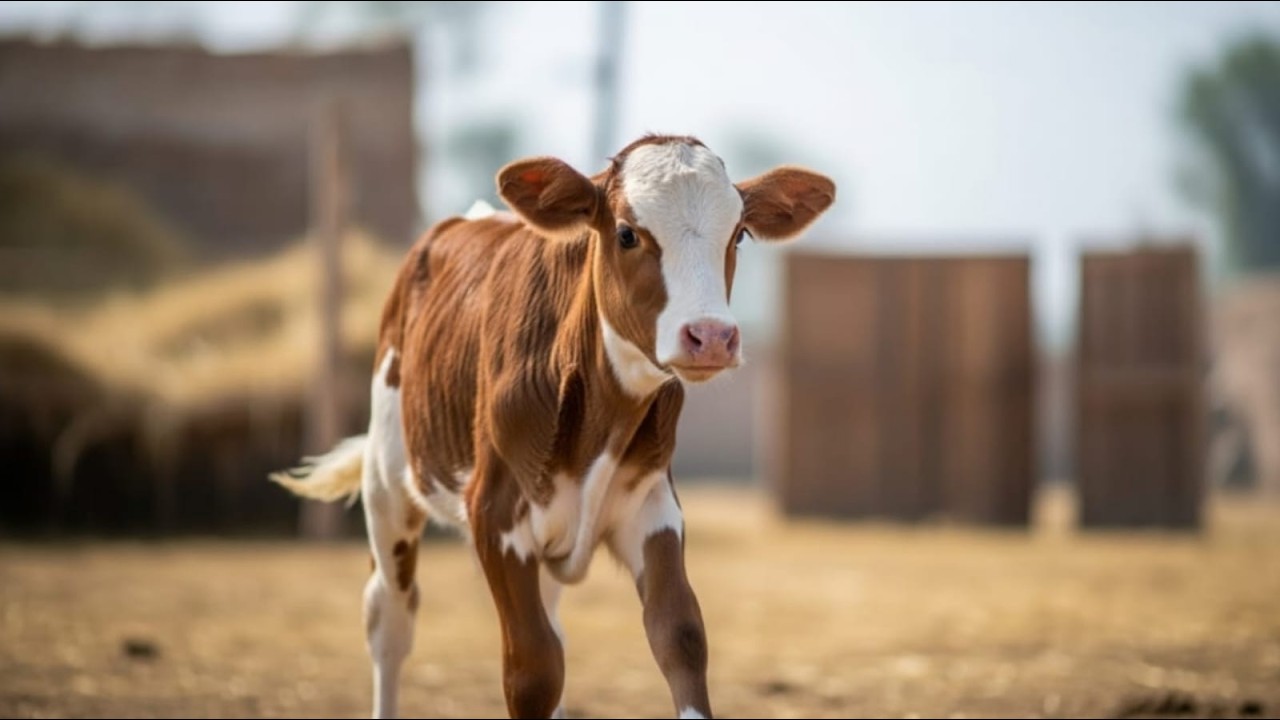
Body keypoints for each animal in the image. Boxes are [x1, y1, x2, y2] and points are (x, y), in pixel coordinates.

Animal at [272, 134, 835, 719]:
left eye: (739, 233)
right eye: (627, 233)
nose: (711, 336)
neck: (598, 416)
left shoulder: (652, 505)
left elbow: (679, 636)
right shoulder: (495, 515)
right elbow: (533, 669)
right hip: (388, 486)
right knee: (390, 617)